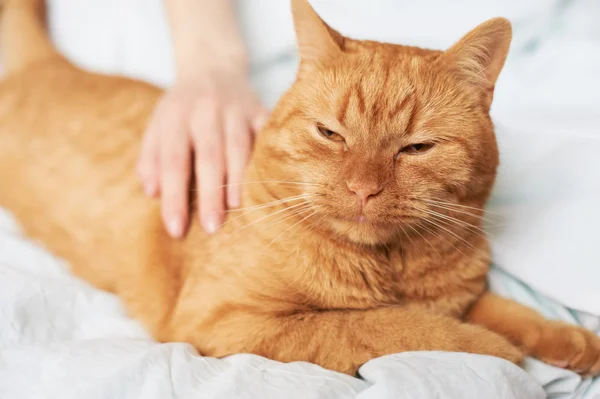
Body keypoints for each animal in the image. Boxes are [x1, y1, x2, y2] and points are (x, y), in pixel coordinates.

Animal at [1, 0, 600, 378]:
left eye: (416, 148)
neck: (391, 265)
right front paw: (493, 350)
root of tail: (45, 63)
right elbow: (391, 327)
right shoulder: (225, 322)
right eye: (330, 134)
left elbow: (503, 309)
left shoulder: (461, 293)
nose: (363, 189)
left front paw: (568, 339)